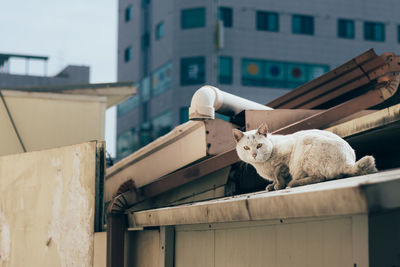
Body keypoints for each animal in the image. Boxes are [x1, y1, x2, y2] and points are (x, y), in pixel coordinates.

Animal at [233, 122, 376, 192]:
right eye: (246, 148)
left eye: (259, 145)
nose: (254, 155)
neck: (262, 165)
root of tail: (348, 162)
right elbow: (274, 178)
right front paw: (272, 186)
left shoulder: (285, 160)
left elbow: (278, 173)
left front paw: (279, 185)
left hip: (304, 145)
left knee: (321, 177)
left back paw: (292, 184)